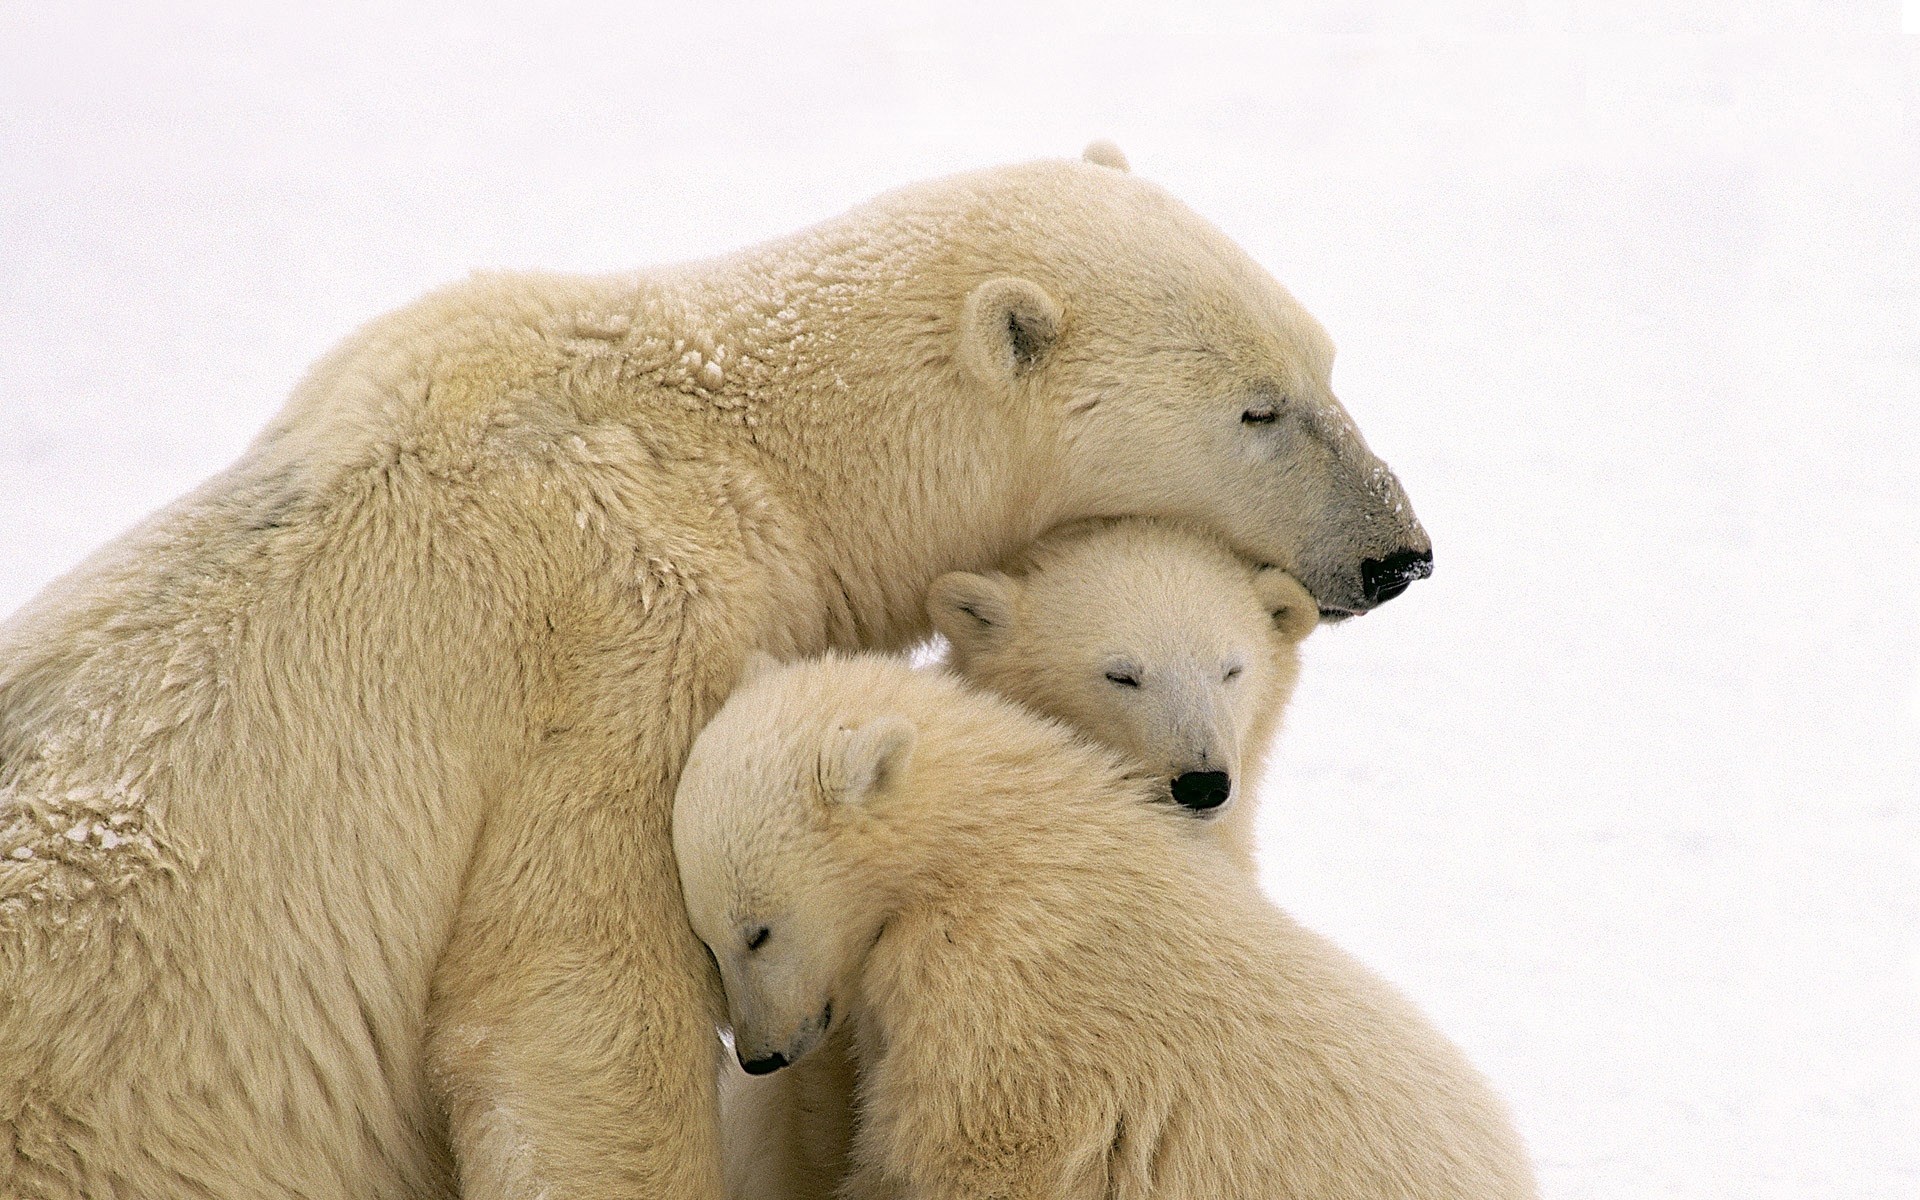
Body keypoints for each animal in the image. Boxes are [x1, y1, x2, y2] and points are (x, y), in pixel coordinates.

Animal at [676, 653, 1535, 1200]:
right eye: (706, 940)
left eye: (757, 931)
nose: (758, 1055)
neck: (983, 848)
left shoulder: (1007, 1000)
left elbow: (969, 1155)